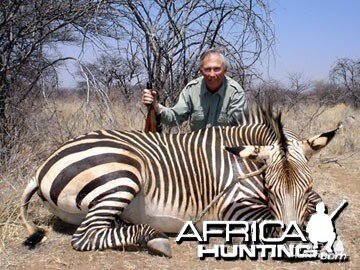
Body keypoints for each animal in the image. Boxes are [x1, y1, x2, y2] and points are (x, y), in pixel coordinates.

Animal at [20, 106, 340, 256]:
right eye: (270, 188)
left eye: (306, 187)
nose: (292, 239)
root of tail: (42, 165)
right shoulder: (234, 208)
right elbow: (271, 224)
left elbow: (318, 205)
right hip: (122, 176)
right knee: (86, 236)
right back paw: (158, 240)